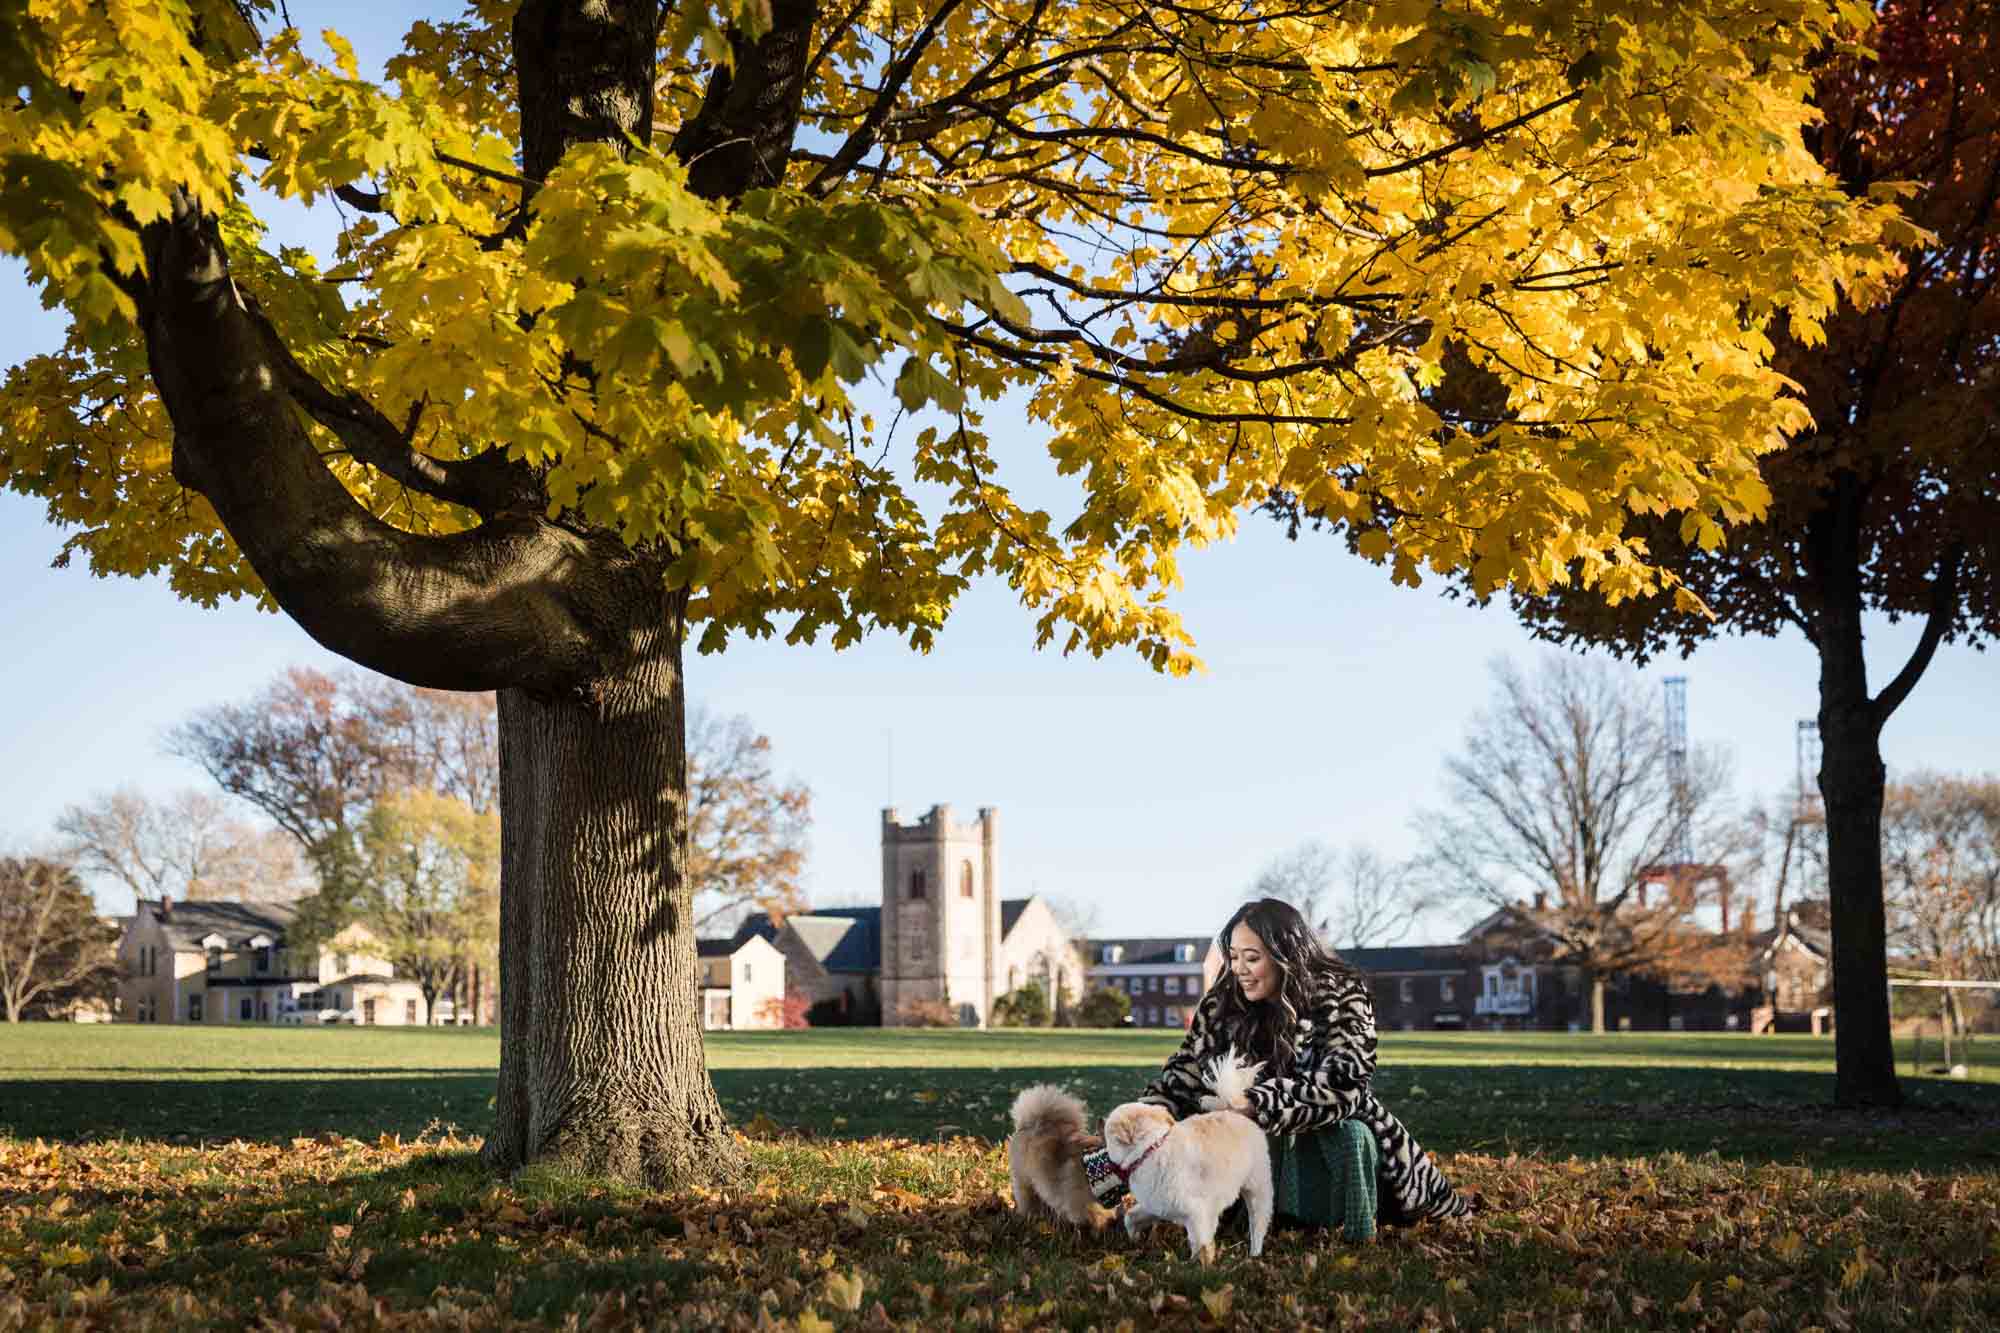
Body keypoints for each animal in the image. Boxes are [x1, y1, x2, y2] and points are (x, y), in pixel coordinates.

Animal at [1104, 1048, 1272, 1256]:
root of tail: (1235, 1112)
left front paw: (1197, 1263)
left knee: (1258, 1224)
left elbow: (1200, 1246)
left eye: (1108, 1139)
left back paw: (1254, 1253)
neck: (1151, 1148)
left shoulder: (1198, 1214)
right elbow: (1131, 1217)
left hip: (1257, 1189)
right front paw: (1133, 1241)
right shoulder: (1156, 1206)